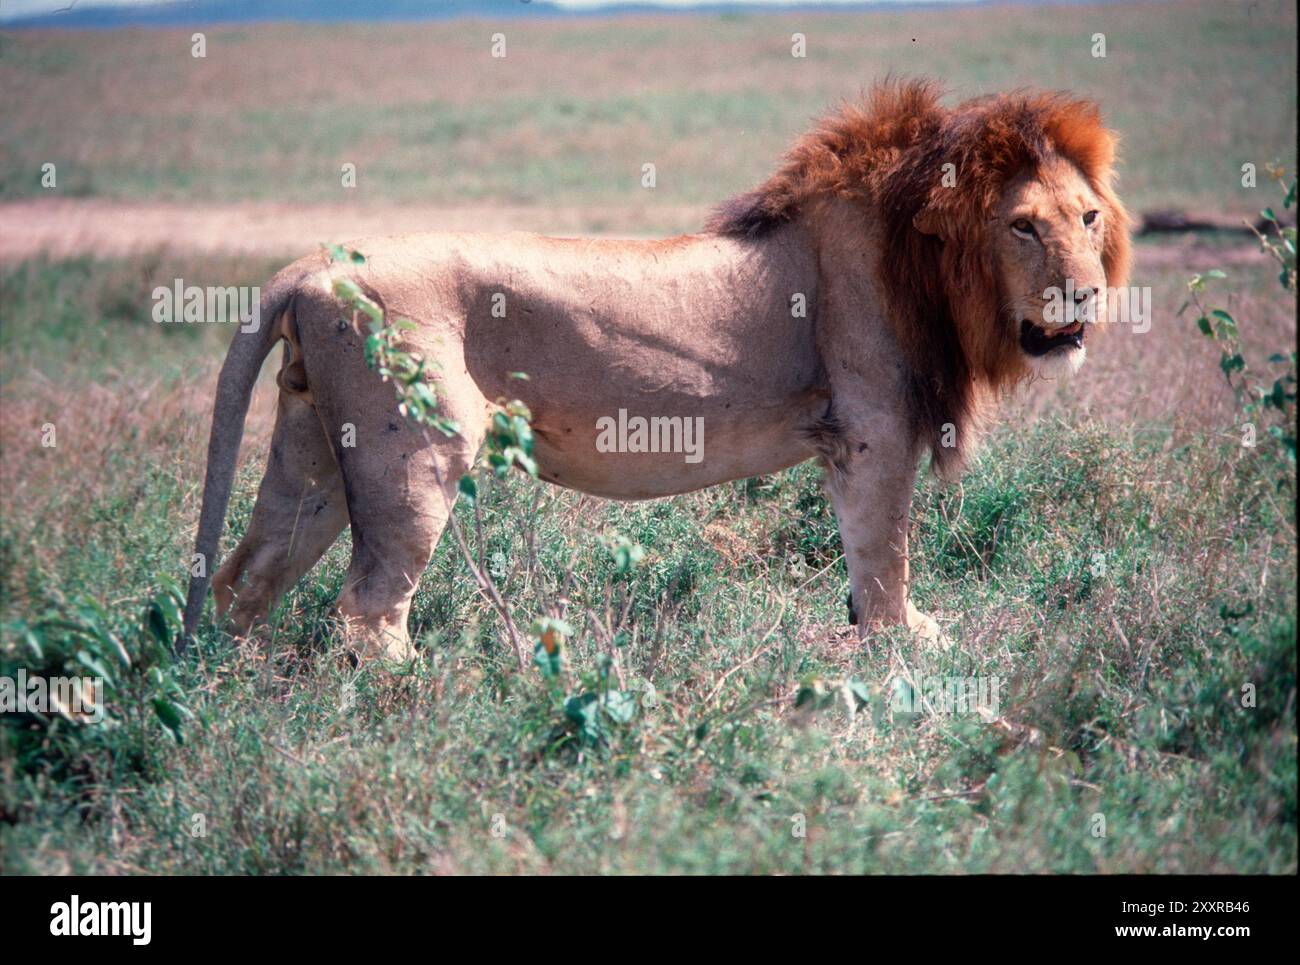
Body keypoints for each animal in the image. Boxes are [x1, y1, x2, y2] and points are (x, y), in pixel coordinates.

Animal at [180, 79, 1130, 661]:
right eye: (1023, 226)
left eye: (1088, 217)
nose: (1083, 296)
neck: (922, 258)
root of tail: (311, 268)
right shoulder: (874, 432)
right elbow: (884, 553)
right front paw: (904, 649)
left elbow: (867, 563)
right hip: (413, 455)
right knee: (369, 609)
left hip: (313, 448)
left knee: (245, 577)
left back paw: (236, 699)